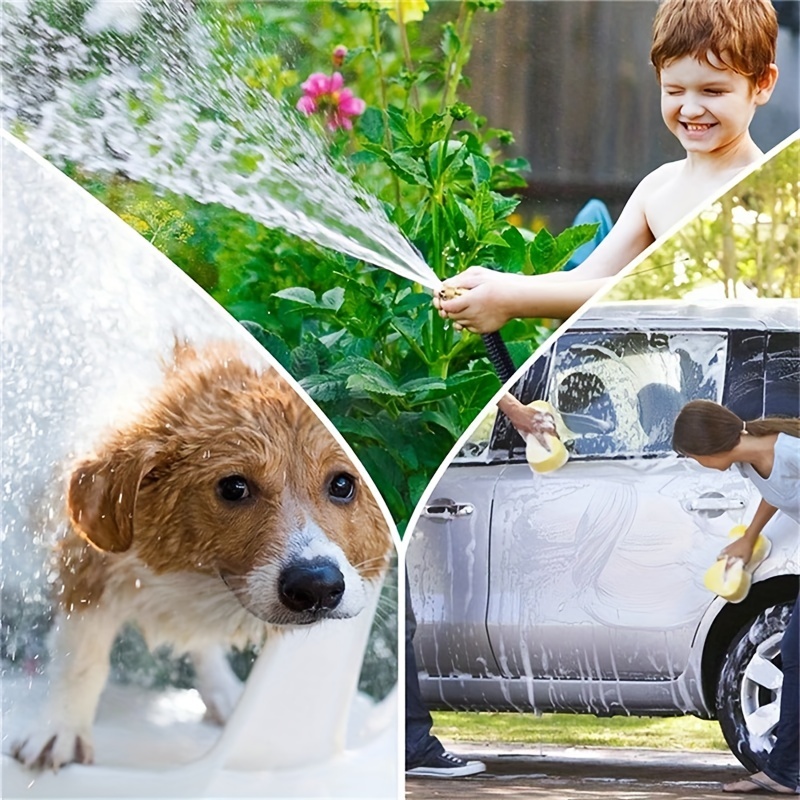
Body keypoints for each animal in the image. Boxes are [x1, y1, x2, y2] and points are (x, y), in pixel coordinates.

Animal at [10, 344, 390, 768]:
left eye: (342, 484)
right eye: (234, 487)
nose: (317, 587)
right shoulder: (89, 561)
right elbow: (82, 658)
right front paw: (59, 731)